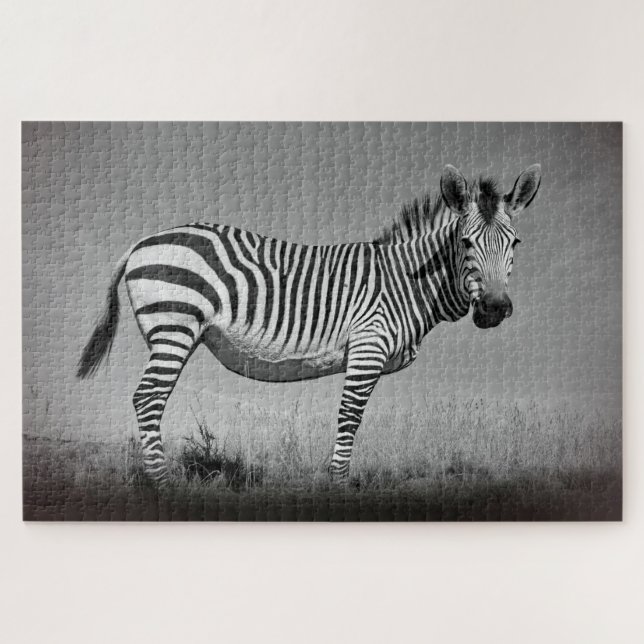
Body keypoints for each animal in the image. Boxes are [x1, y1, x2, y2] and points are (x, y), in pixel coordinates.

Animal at [77, 163, 541, 485]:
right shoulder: (368, 345)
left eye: (515, 243)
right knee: (147, 398)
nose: (494, 309)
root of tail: (142, 241)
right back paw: (164, 484)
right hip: (174, 325)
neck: (407, 281)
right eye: (465, 242)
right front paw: (338, 484)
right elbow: (350, 416)